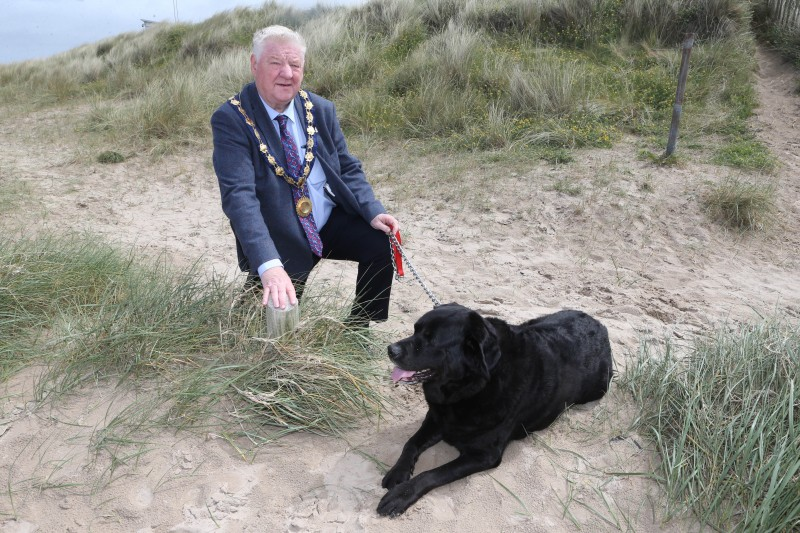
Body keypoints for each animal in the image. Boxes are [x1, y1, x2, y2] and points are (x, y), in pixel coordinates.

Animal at [376, 304, 612, 516]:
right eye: (415, 330)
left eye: (431, 339)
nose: (390, 349)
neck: (469, 387)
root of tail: (599, 326)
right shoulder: (436, 418)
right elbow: (411, 443)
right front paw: (398, 472)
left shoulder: (484, 454)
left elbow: (432, 474)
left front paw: (401, 495)